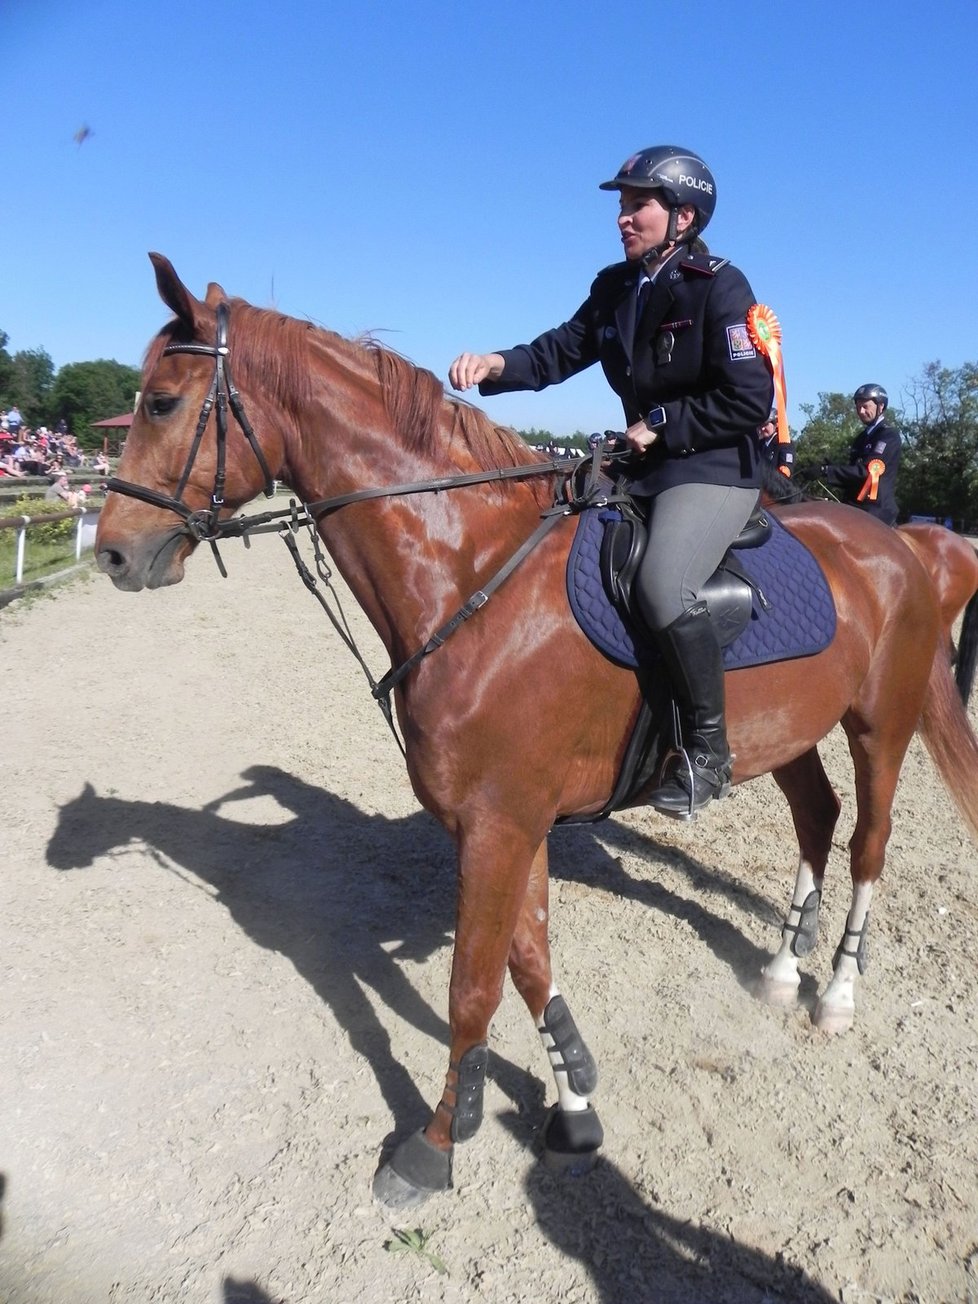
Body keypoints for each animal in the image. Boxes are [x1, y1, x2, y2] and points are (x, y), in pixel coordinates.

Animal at [95, 256, 978, 1210]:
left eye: (160, 403)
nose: (112, 554)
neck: (472, 573)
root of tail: (905, 548)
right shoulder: (503, 824)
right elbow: (528, 962)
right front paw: (574, 1102)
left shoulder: (501, 822)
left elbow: (472, 987)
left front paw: (435, 1147)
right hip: (787, 735)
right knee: (816, 818)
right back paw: (782, 971)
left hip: (880, 726)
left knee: (867, 845)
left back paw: (837, 992)